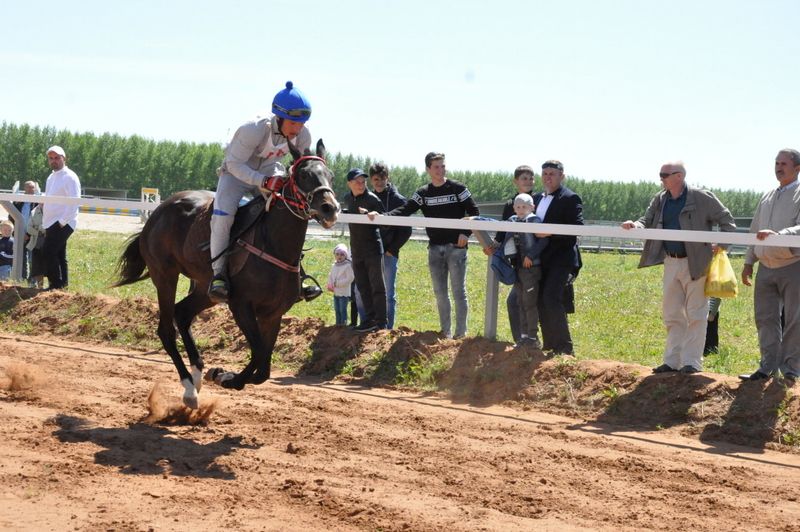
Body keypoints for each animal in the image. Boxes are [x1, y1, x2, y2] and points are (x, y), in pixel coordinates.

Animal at [113, 138, 338, 408]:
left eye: (330, 175)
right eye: (304, 175)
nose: (330, 208)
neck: (274, 245)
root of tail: (158, 212)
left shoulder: (274, 313)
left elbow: (264, 367)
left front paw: (224, 375)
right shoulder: (241, 306)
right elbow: (259, 353)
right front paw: (226, 377)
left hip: (205, 288)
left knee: (183, 313)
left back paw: (197, 374)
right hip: (165, 275)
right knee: (166, 330)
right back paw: (189, 387)